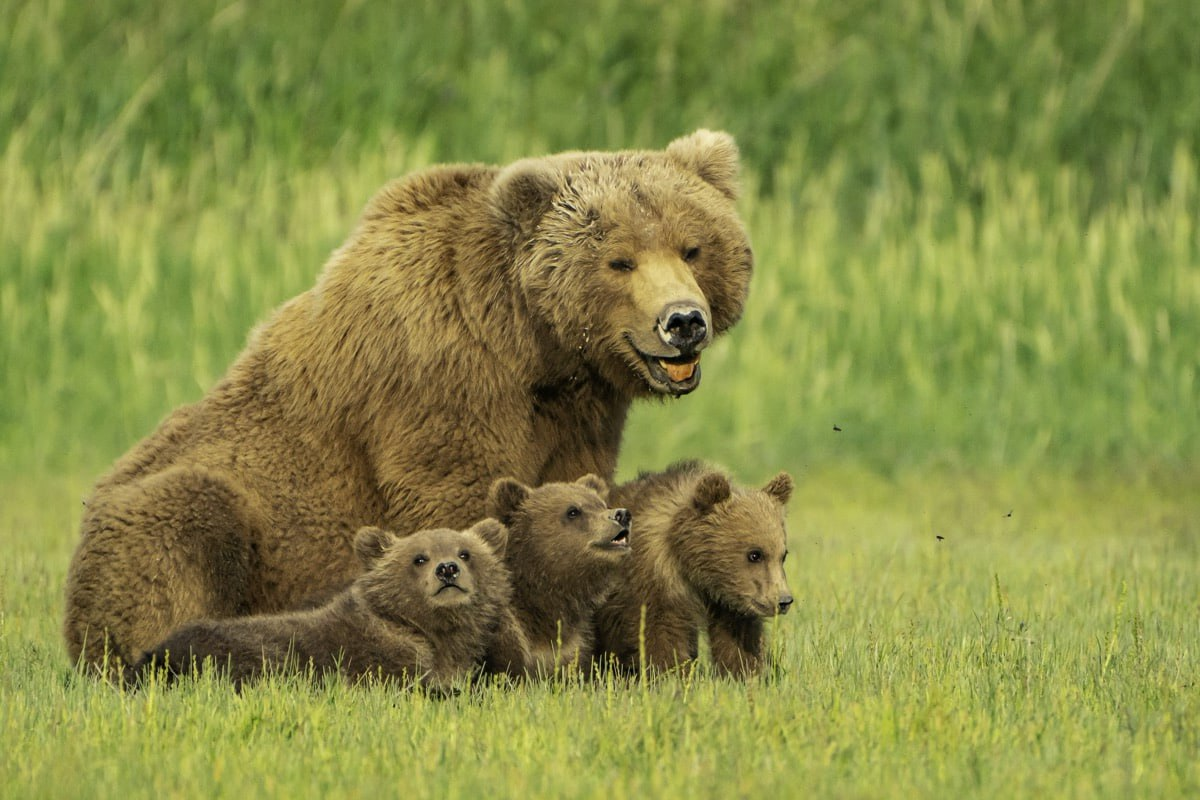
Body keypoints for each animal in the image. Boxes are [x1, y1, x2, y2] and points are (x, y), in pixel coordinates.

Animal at [63, 130, 748, 671]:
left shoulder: (577, 413)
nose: (683, 322)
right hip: (202, 501)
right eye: (619, 260)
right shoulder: (437, 384)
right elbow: (458, 501)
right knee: (177, 537)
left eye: (693, 247)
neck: (531, 345)